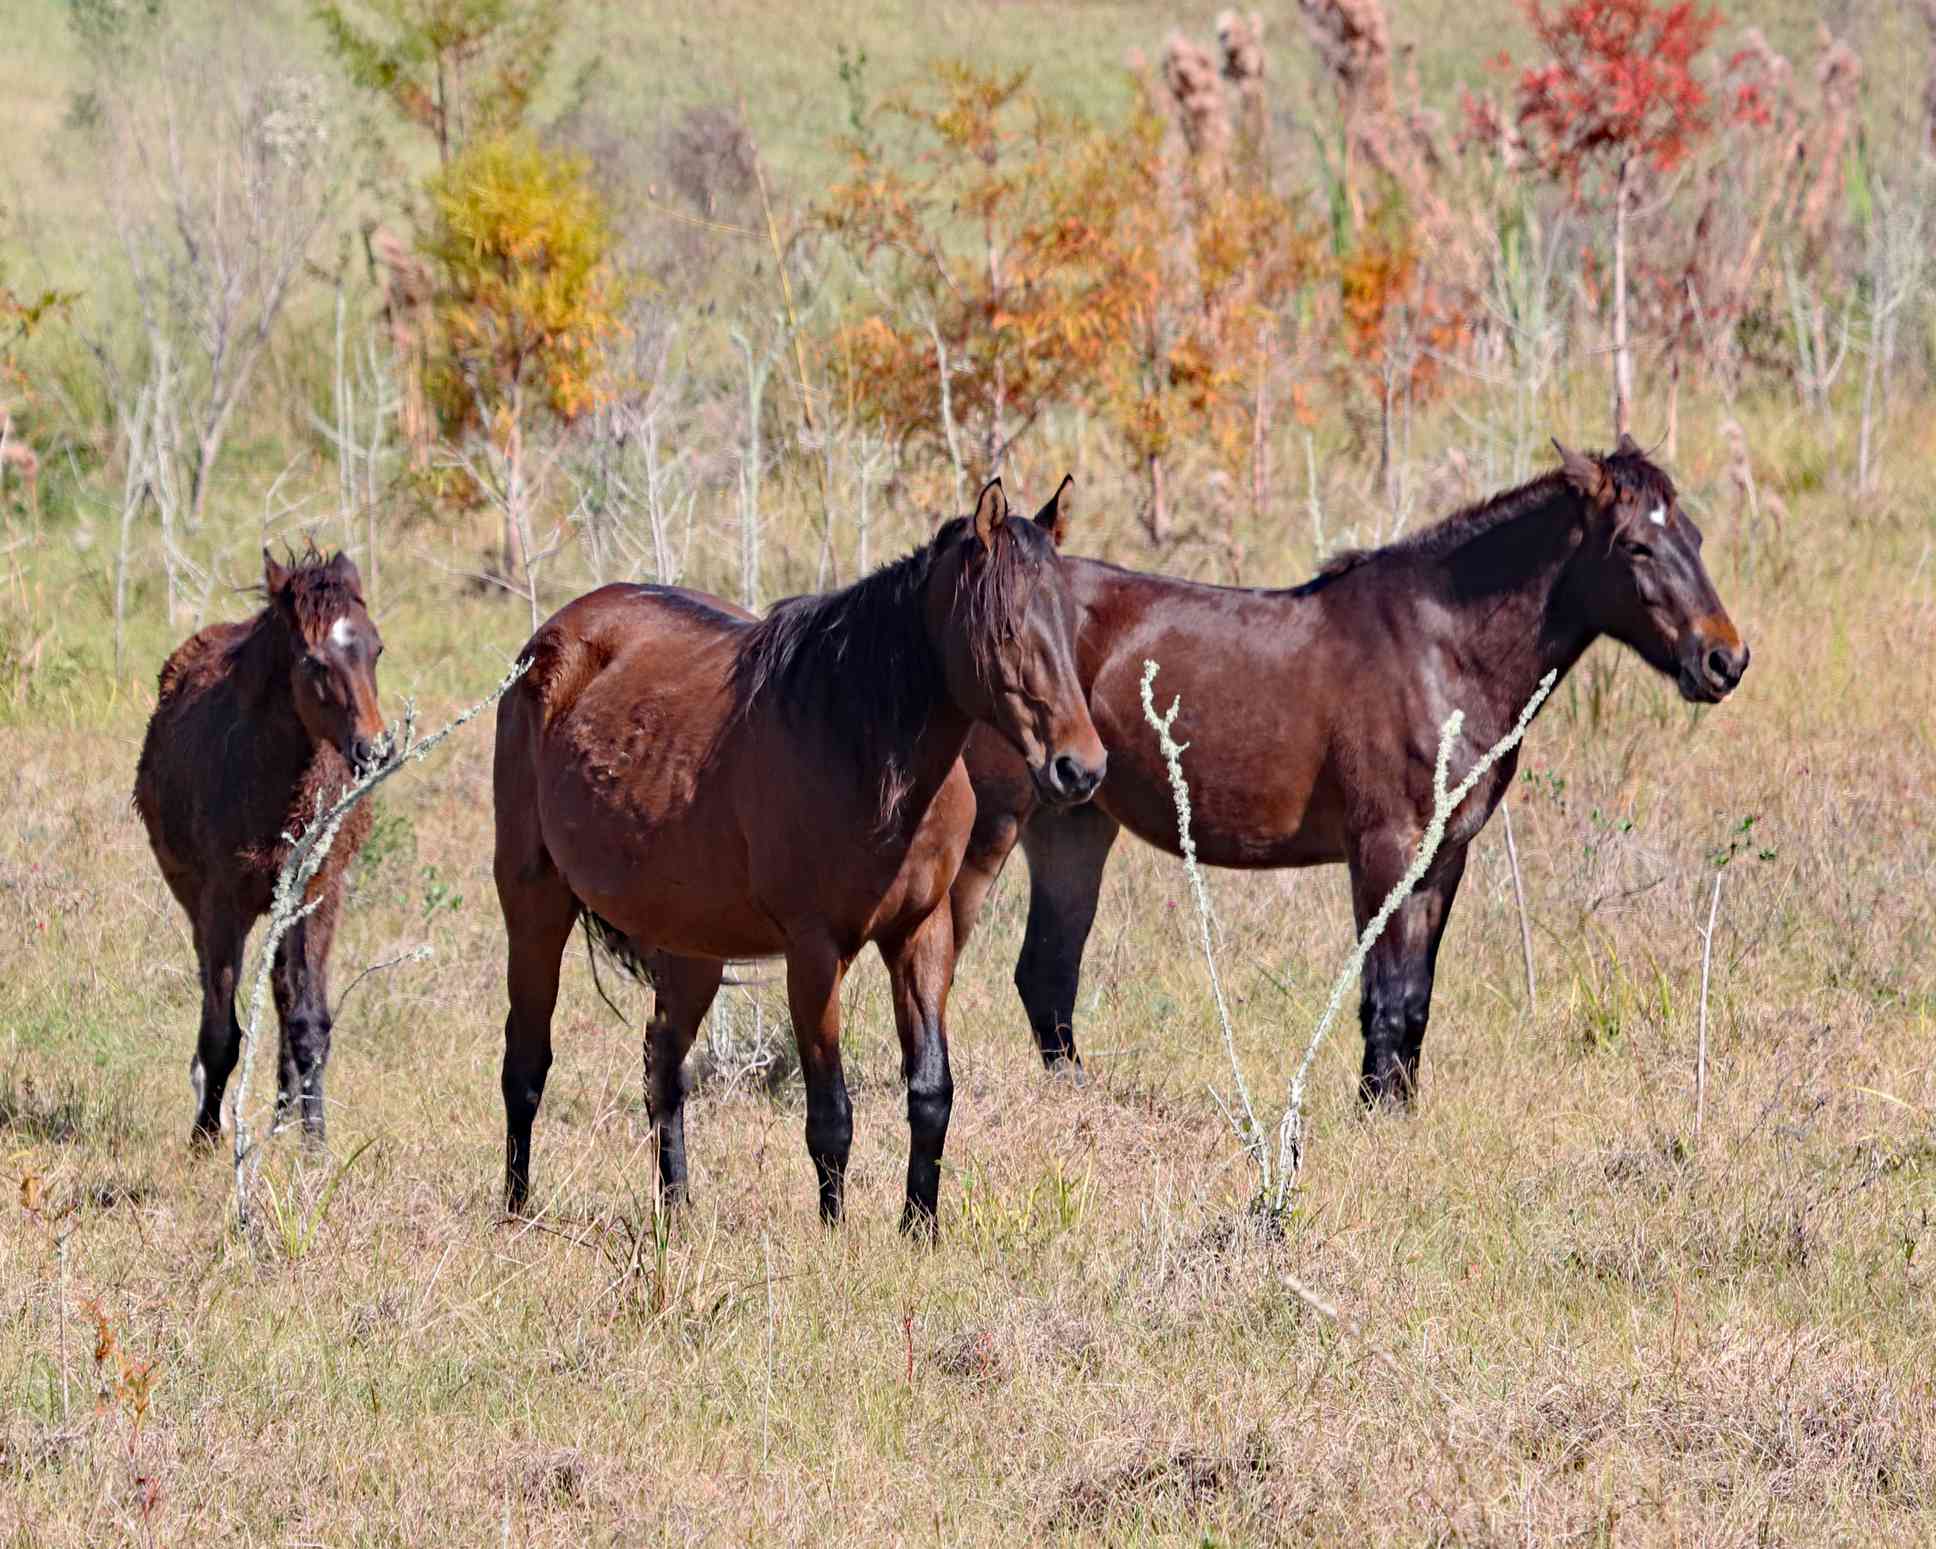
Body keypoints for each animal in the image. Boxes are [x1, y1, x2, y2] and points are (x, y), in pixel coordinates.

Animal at [133, 546, 385, 1138]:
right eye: (315, 662)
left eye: (376, 649)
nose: (374, 750)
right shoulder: (223, 901)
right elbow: (221, 1031)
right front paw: (204, 1136)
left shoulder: (318, 893)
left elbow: (309, 1024)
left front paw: (315, 1144)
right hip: (198, 899)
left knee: (284, 997)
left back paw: (283, 1118)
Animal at [491, 478, 1107, 1231]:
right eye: (1005, 631)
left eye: (1070, 626)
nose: (1080, 768)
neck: (858, 744)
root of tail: (550, 642)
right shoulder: (815, 951)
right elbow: (831, 1116)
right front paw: (835, 1235)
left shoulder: (922, 932)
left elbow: (932, 1093)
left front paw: (920, 1229)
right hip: (535, 902)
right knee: (526, 1062)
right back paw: (516, 1209)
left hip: (692, 944)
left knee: (661, 1065)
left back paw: (677, 1211)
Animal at [952, 439, 1757, 1099]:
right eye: (1635, 546)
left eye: (1695, 536)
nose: (1725, 659)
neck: (1440, 650)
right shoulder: (1385, 849)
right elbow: (1387, 993)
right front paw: (1374, 1111)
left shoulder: (1443, 857)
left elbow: (1416, 995)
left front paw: (1398, 1108)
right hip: (991, 825)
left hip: (1074, 822)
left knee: (1046, 973)